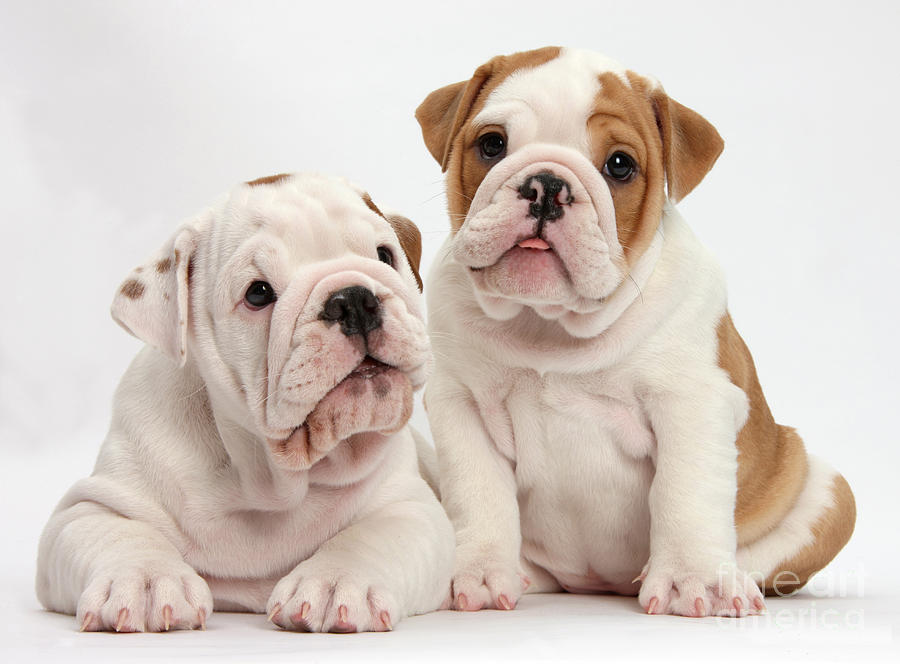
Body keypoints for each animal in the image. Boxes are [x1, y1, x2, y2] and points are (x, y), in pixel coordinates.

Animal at [35, 172, 458, 632]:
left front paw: (336, 580)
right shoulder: (89, 507)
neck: (271, 477)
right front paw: (146, 579)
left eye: (384, 255)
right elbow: (121, 534)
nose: (353, 300)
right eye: (258, 294)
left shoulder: (410, 508)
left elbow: (370, 537)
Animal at [414, 49, 852, 620]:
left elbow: (685, 490)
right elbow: (479, 491)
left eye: (620, 164)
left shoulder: (691, 401)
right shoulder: (460, 402)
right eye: (492, 144)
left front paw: (694, 578)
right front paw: (480, 572)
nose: (546, 185)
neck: (548, 321)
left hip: (831, 493)